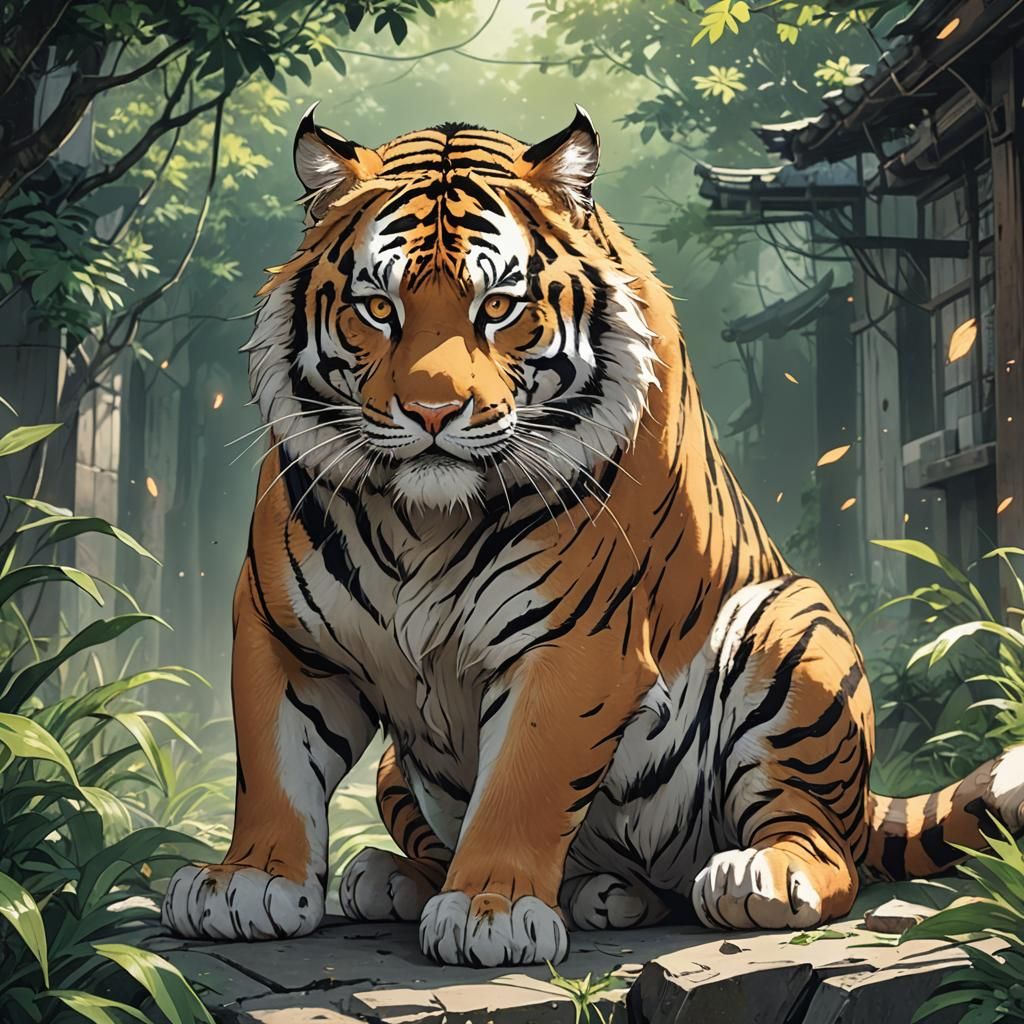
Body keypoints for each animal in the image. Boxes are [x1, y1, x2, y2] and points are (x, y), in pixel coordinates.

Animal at [161, 105, 1024, 967]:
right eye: (380, 309)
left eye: (498, 308)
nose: (433, 413)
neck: (424, 519)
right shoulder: (282, 632)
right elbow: (273, 764)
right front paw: (249, 881)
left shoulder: (572, 640)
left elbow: (524, 780)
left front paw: (489, 909)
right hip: (397, 770)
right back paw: (416, 879)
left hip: (793, 627)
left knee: (823, 845)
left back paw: (759, 876)